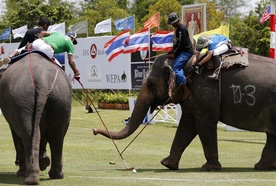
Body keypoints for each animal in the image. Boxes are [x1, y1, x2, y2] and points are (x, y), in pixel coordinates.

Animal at [0, 52, 72, 185]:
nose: (16, 162)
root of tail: (42, 81)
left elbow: (16, 134)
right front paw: (44, 161)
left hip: (22, 98)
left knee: (28, 134)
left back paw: (29, 177)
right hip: (61, 98)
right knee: (56, 135)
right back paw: (55, 175)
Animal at [92, 52, 276, 171]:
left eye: (151, 83)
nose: (93, 130)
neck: (190, 61)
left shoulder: (205, 92)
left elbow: (204, 125)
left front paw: (209, 168)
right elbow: (187, 126)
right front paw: (167, 164)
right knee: (272, 137)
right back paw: (262, 167)